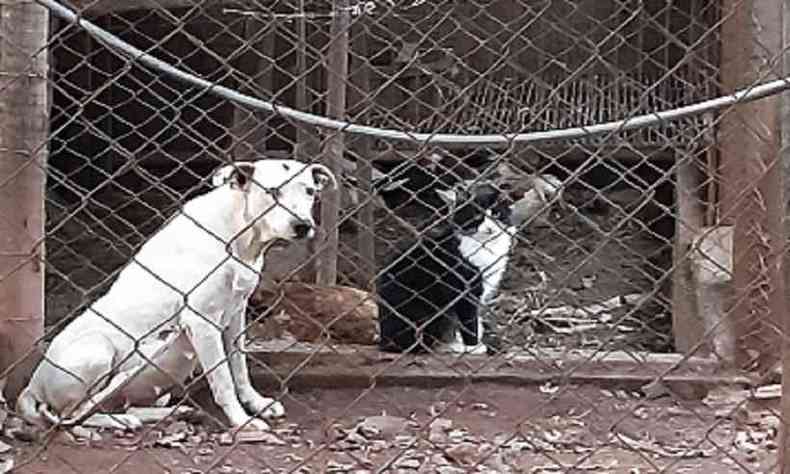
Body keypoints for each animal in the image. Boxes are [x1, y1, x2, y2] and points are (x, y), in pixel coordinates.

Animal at [16, 159, 338, 434]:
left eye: (310, 191)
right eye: (272, 191)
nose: (303, 225)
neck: (238, 237)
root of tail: (32, 386)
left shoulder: (236, 315)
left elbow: (239, 367)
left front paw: (257, 403)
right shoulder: (202, 322)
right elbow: (223, 380)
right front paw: (241, 420)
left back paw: (168, 413)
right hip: (97, 349)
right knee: (71, 415)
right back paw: (120, 421)